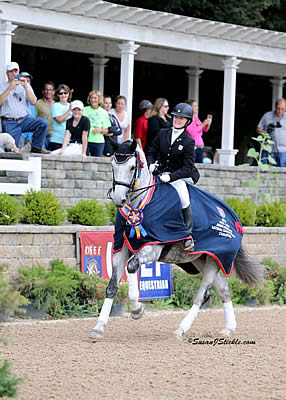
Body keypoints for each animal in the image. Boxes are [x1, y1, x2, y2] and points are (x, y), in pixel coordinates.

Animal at [89, 140, 264, 340]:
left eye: (132, 167)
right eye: (112, 166)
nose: (119, 199)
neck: (142, 203)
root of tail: (235, 221)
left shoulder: (154, 247)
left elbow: (132, 267)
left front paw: (137, 310)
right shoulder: (122, 248)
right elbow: (112, 286)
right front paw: (98, 328)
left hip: (215, 260)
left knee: (202, 294)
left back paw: (181, 329)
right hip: (201, 259)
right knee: (223, 289)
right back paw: (228, 328)